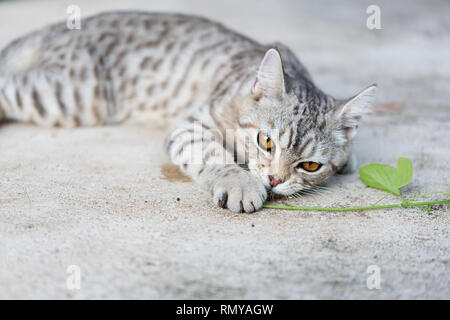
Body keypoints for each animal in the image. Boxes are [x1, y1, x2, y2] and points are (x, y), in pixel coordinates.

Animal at [0, 11, 376, 212]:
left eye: (310, 166)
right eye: (266, 142)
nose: (274, 179)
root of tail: (54, 29)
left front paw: (350, 158)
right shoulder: (193, 126)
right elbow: (213, 155)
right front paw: (241, 183)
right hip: (71, 95)